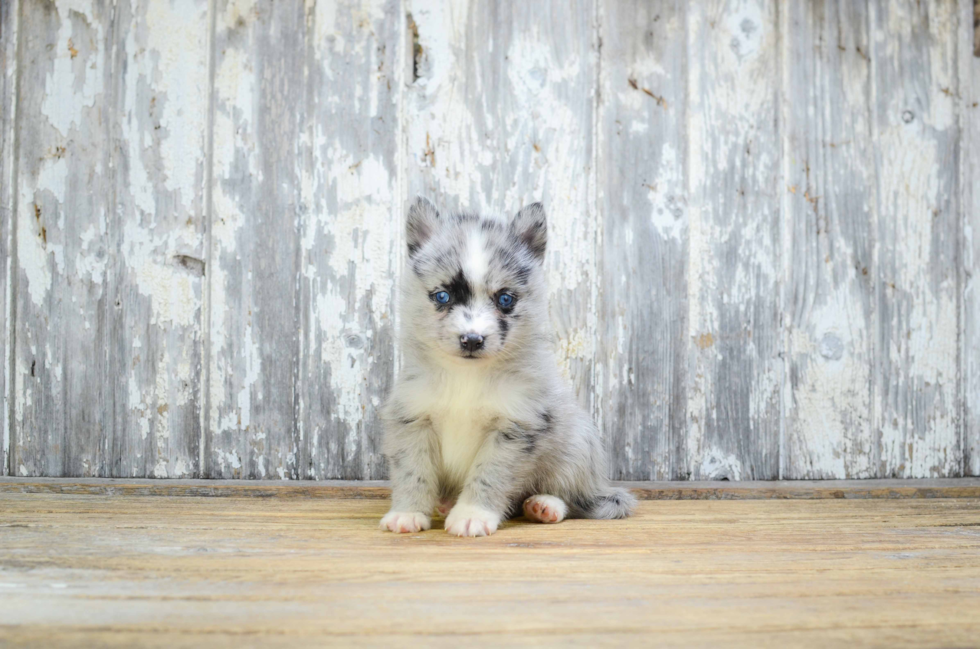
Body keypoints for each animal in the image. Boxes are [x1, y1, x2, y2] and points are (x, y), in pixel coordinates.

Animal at [376, 197, 636, 536]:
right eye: (442, 296)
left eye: (505, 299)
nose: (472, 340)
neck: (466, 377)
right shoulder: (413, 420)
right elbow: (412, 472)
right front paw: (407, 513)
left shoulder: (516, 428)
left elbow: (489, 475)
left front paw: (472, 514)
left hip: (576, 447)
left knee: (573, 499)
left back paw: (544, 506)